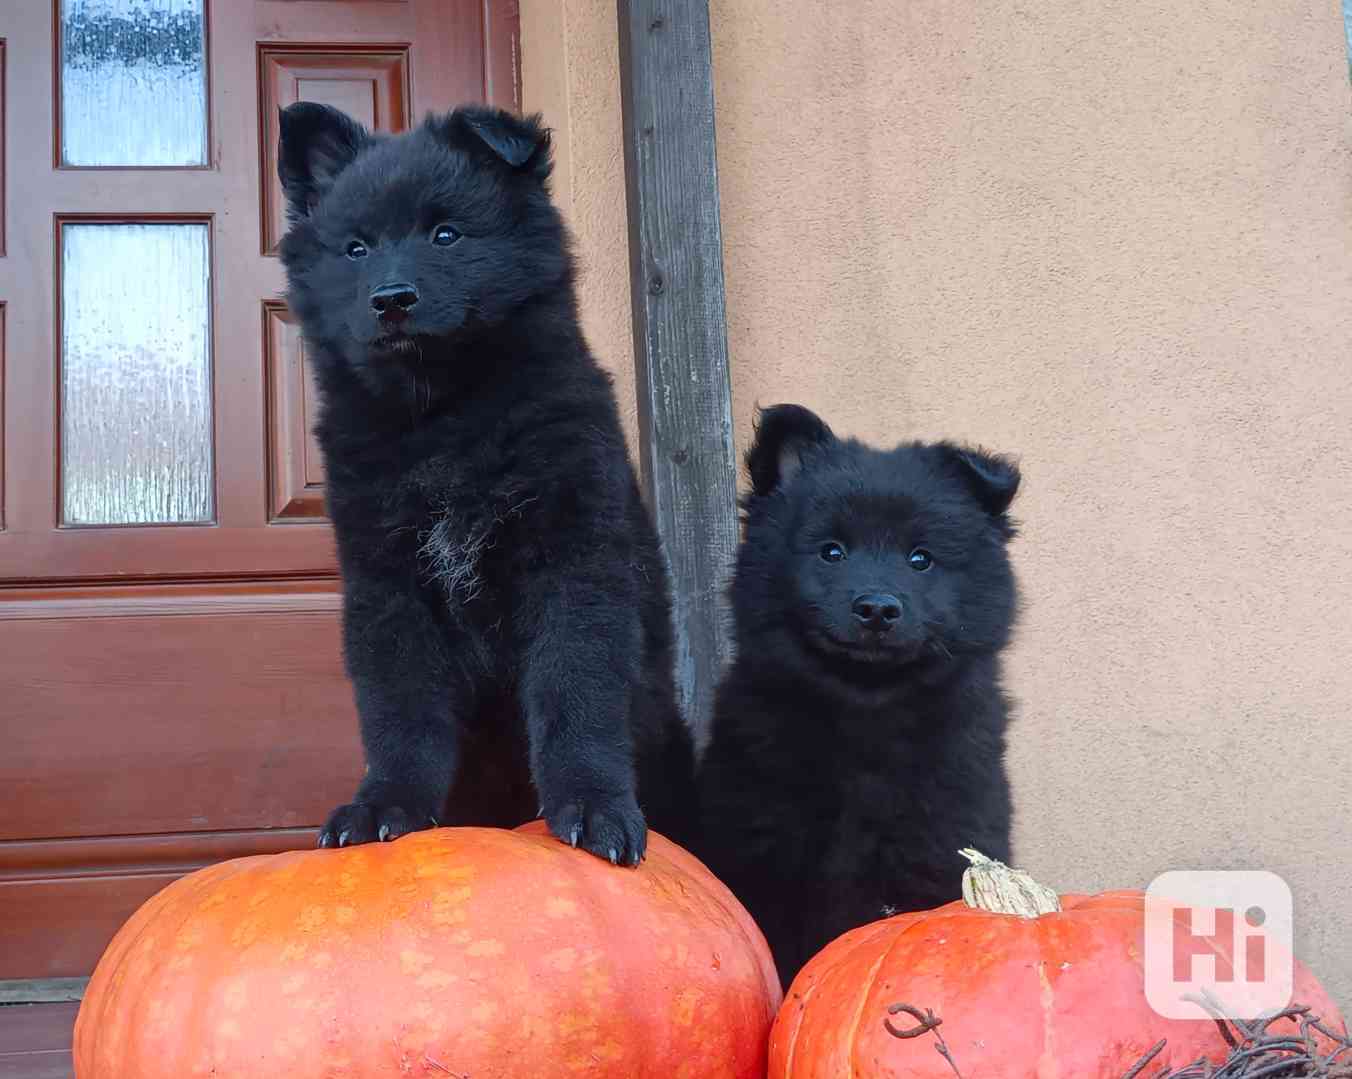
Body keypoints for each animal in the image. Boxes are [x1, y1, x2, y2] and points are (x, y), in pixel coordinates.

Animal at [278, 103, 692, 870]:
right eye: (356, 249)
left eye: (446, 234)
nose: (391, 300)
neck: (446, 415)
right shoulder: (388, 585)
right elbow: (400, 707)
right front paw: (386, 805)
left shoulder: (575, 561)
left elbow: (574, 688)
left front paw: (592, 806)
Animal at [692, 405, 1016, 989]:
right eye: (832, 552)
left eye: (920, 559)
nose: (877, 609)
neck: (867, 712)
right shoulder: (763, 854)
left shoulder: (940, 843)